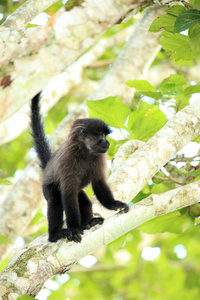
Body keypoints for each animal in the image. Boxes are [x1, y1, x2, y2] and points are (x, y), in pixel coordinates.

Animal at [30, 92, 129, 243]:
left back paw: (87, 224)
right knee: (56, 200)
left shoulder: (98, 157)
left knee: (84, 202)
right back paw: (54, 235)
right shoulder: (68, 160)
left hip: (79, 192)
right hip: (47, 187)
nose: (107, 142)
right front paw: (74, 229)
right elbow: (68, 193)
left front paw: (114, 205)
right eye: (102, 136)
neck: (85, 152)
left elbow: (98, 183)